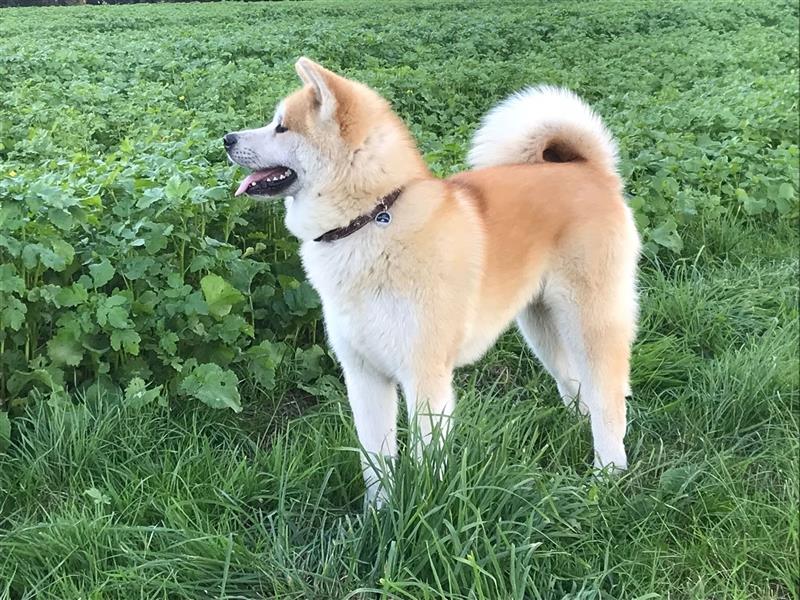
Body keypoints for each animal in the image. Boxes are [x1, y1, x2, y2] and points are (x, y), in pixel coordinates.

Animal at [222, 58, 640, 504]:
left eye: (281, 127)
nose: (227, 139)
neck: (368, 220)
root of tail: (588, 169)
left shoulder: (424, 375)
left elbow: (425, 462)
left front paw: (420, 505)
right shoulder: (364, 375)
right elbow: (375, 460)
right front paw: (379, 513)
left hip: (590, 322)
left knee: (609, 399)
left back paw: (607, 474)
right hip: (540, 325)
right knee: (576, 386)